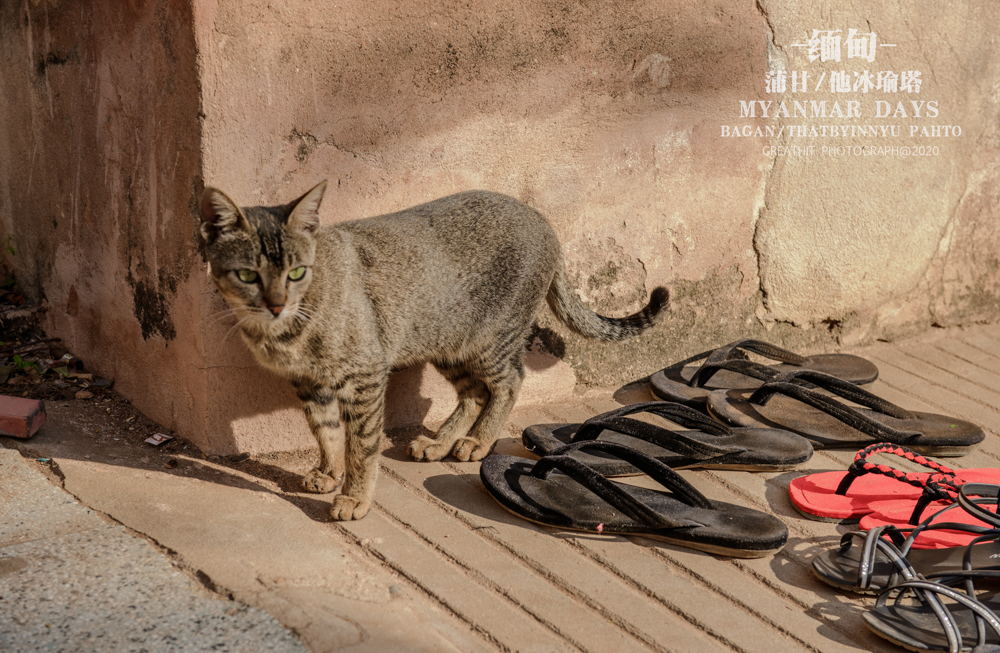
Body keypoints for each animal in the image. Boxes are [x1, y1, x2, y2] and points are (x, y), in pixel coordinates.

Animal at [199, 182, 668, 520]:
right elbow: (325, 430)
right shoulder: (308, 382)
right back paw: (441, 443)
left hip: (489, 340)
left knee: (510, 382)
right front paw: (329, 472)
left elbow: (361, 445)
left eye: (296, 272)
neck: (286, 330)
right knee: (473, 393)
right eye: (247, 275)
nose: (276, 303)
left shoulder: (365, 375)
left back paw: (478, 441)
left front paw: (355, 496)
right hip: (447, 341)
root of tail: (542, 220)